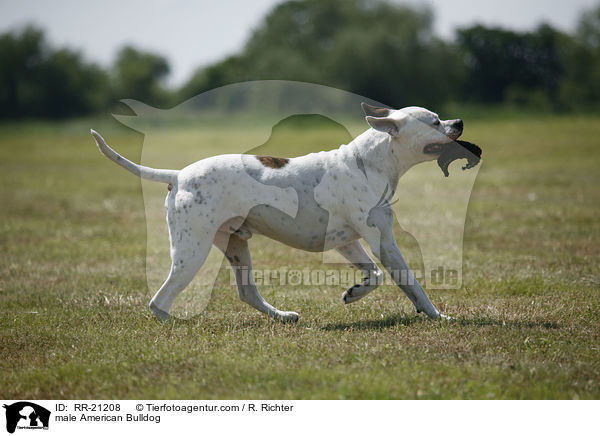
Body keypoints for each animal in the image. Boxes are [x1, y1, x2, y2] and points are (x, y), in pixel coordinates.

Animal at [91, 104, 464, 324]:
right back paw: (174, 324)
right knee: (159, 299)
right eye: (434, 121)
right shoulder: (384, 242)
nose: (459, 121)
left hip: (235, 246)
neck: (369, 162)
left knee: (247, 292)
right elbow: (411, 282)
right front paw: (438, 316)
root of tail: (178, 175)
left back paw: (282, 316)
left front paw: (354, 293)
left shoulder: (348, 243)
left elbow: (375, 276)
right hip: (191, 252)